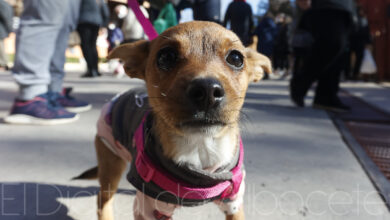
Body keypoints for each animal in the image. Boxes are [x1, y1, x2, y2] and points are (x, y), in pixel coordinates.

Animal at [76, 21, 272, 220]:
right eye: (166, 56)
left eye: (236, 58)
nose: (207, 90)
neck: (201, 149)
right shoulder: (149, 210)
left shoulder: (233, 203)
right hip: (111, 161)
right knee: (103, 199)